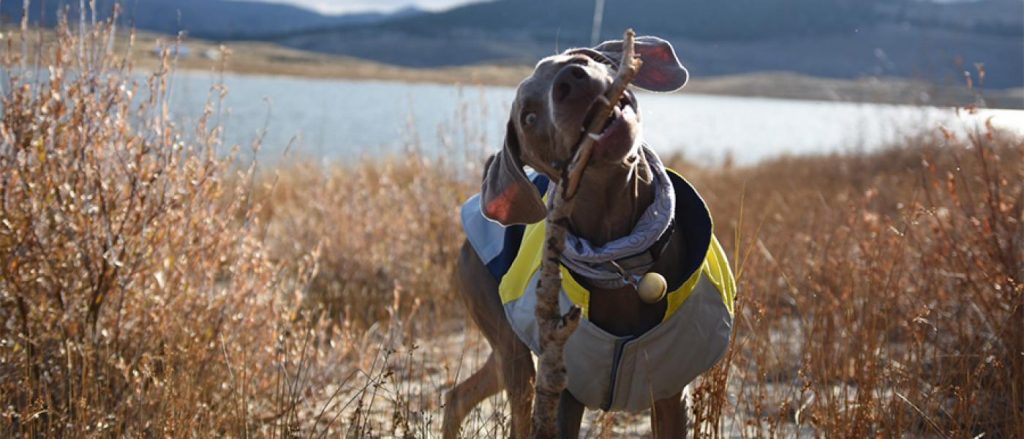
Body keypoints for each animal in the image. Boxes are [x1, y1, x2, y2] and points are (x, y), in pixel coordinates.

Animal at [444, 35, 733, 435]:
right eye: (529, 117)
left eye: (581, 58)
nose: (571, 79)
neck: (623, 261)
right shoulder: (565, 390)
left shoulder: (670, 390)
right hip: (510, 343)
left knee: (459, 395)